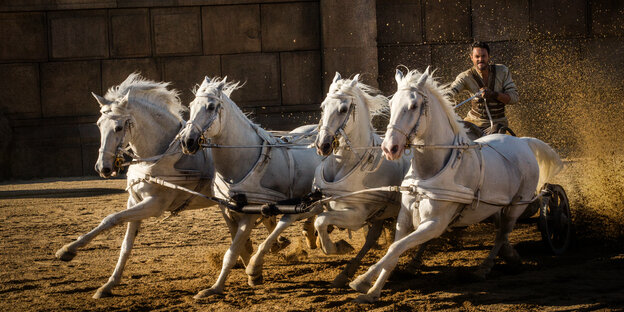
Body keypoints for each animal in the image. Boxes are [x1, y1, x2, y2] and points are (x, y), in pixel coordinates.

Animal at [54, 72, 219, 298]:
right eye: (98, 124)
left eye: (118, 127)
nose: (103, 168)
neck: (159, 155)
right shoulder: (134, 201)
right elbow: (126, 243)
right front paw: (109, 284)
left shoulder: (154, 205)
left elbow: (111, 219)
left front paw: (68, 249)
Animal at [177, 75, 320, 298]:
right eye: (191, 105)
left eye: (211, 106)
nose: (186, 141)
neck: (243, 159)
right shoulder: (227, 210)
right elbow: (238, 248)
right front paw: (218, 285)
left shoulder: (250, 213)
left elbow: (232, 251)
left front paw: (225, 284)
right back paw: (308, 235)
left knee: (294, 216)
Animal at [348, 67, 564, 302]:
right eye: (392, 103)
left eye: (413, 106)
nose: (389, 148)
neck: (428, 172)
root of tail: (523, 141)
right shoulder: (404, 217)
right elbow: (393, 250)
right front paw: (372, 290)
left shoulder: (435, 223)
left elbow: (397, 247)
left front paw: (361, 280)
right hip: (495, 206)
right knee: (499, 230)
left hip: (517, 205)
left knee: (502, 234)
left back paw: (484, 268)